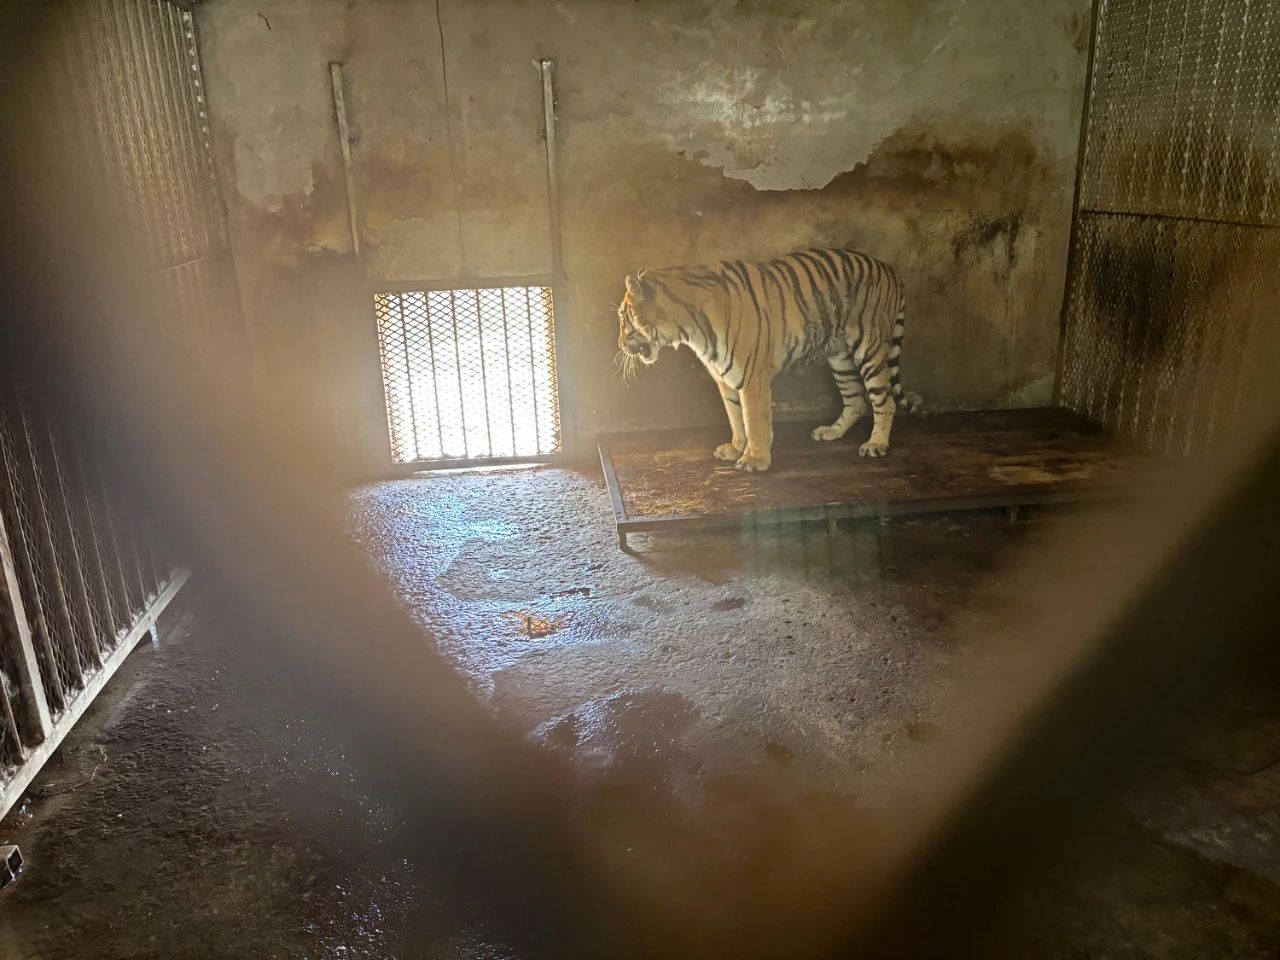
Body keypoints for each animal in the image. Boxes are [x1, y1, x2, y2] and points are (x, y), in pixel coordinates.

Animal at [619, 248, 921, 473]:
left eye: (623, 316)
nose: (621, 344)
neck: (688, 328)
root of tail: (889, 268)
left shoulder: (752, 376)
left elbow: (753, 419)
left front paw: (755, 460)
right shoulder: (724, 377)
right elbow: (735, 417)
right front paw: (735, 448)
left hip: (869, 349)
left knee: (884, 401)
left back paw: (876, 444)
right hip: (840, 357)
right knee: (856, 400)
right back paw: (830, 432)